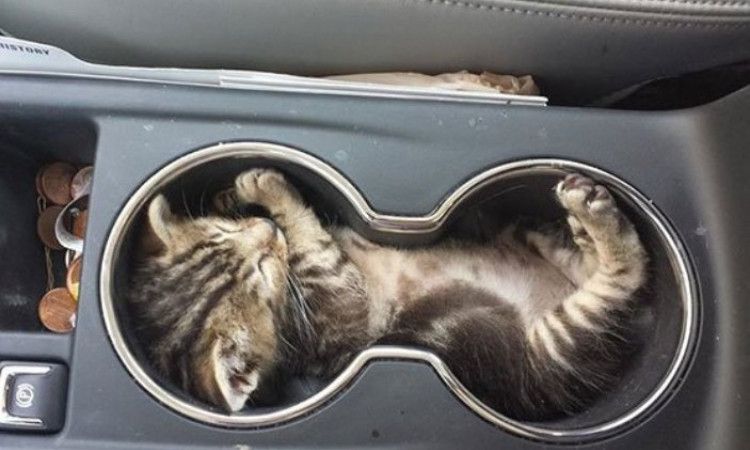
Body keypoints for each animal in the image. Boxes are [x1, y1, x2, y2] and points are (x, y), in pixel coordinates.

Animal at [126, 168, 647, 420]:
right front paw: (275, 193)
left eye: (226, 229)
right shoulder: (341, 301)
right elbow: (311, 240)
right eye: (260, 271)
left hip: (524, 238)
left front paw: (244, 194)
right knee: (625, 277)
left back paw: (581, 228)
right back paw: (595, 220)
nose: (265, 229)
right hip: (561, 347)